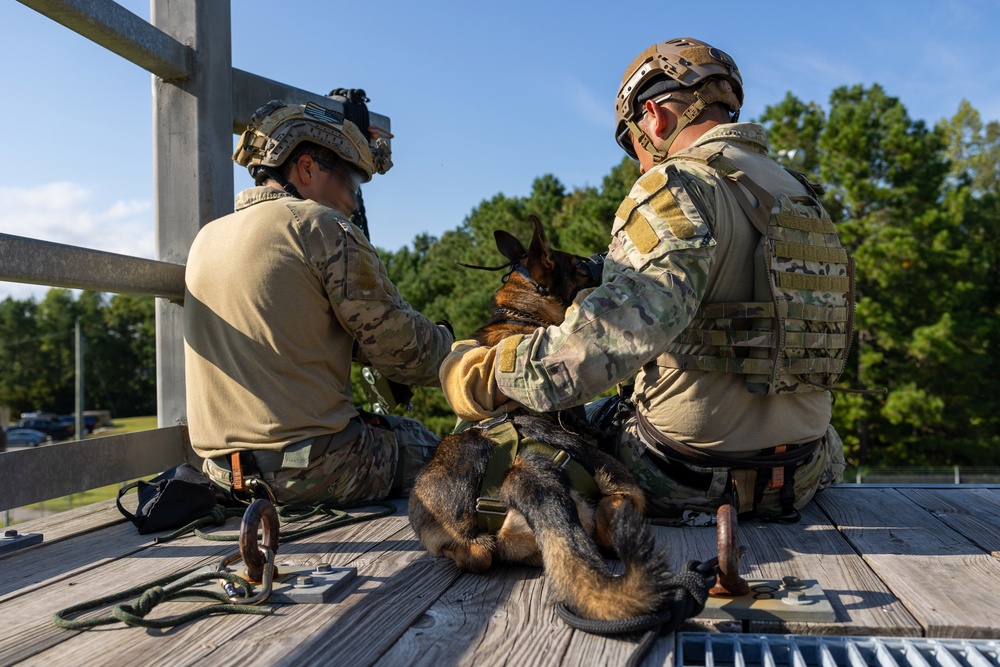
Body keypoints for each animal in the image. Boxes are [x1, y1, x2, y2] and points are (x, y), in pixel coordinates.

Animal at [404, 217, 672, 624]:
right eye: (579, 264)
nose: (602, 257)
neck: (521, 312)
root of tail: (527, 475)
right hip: (623, 485)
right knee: (611, 515)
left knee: (478, 556)